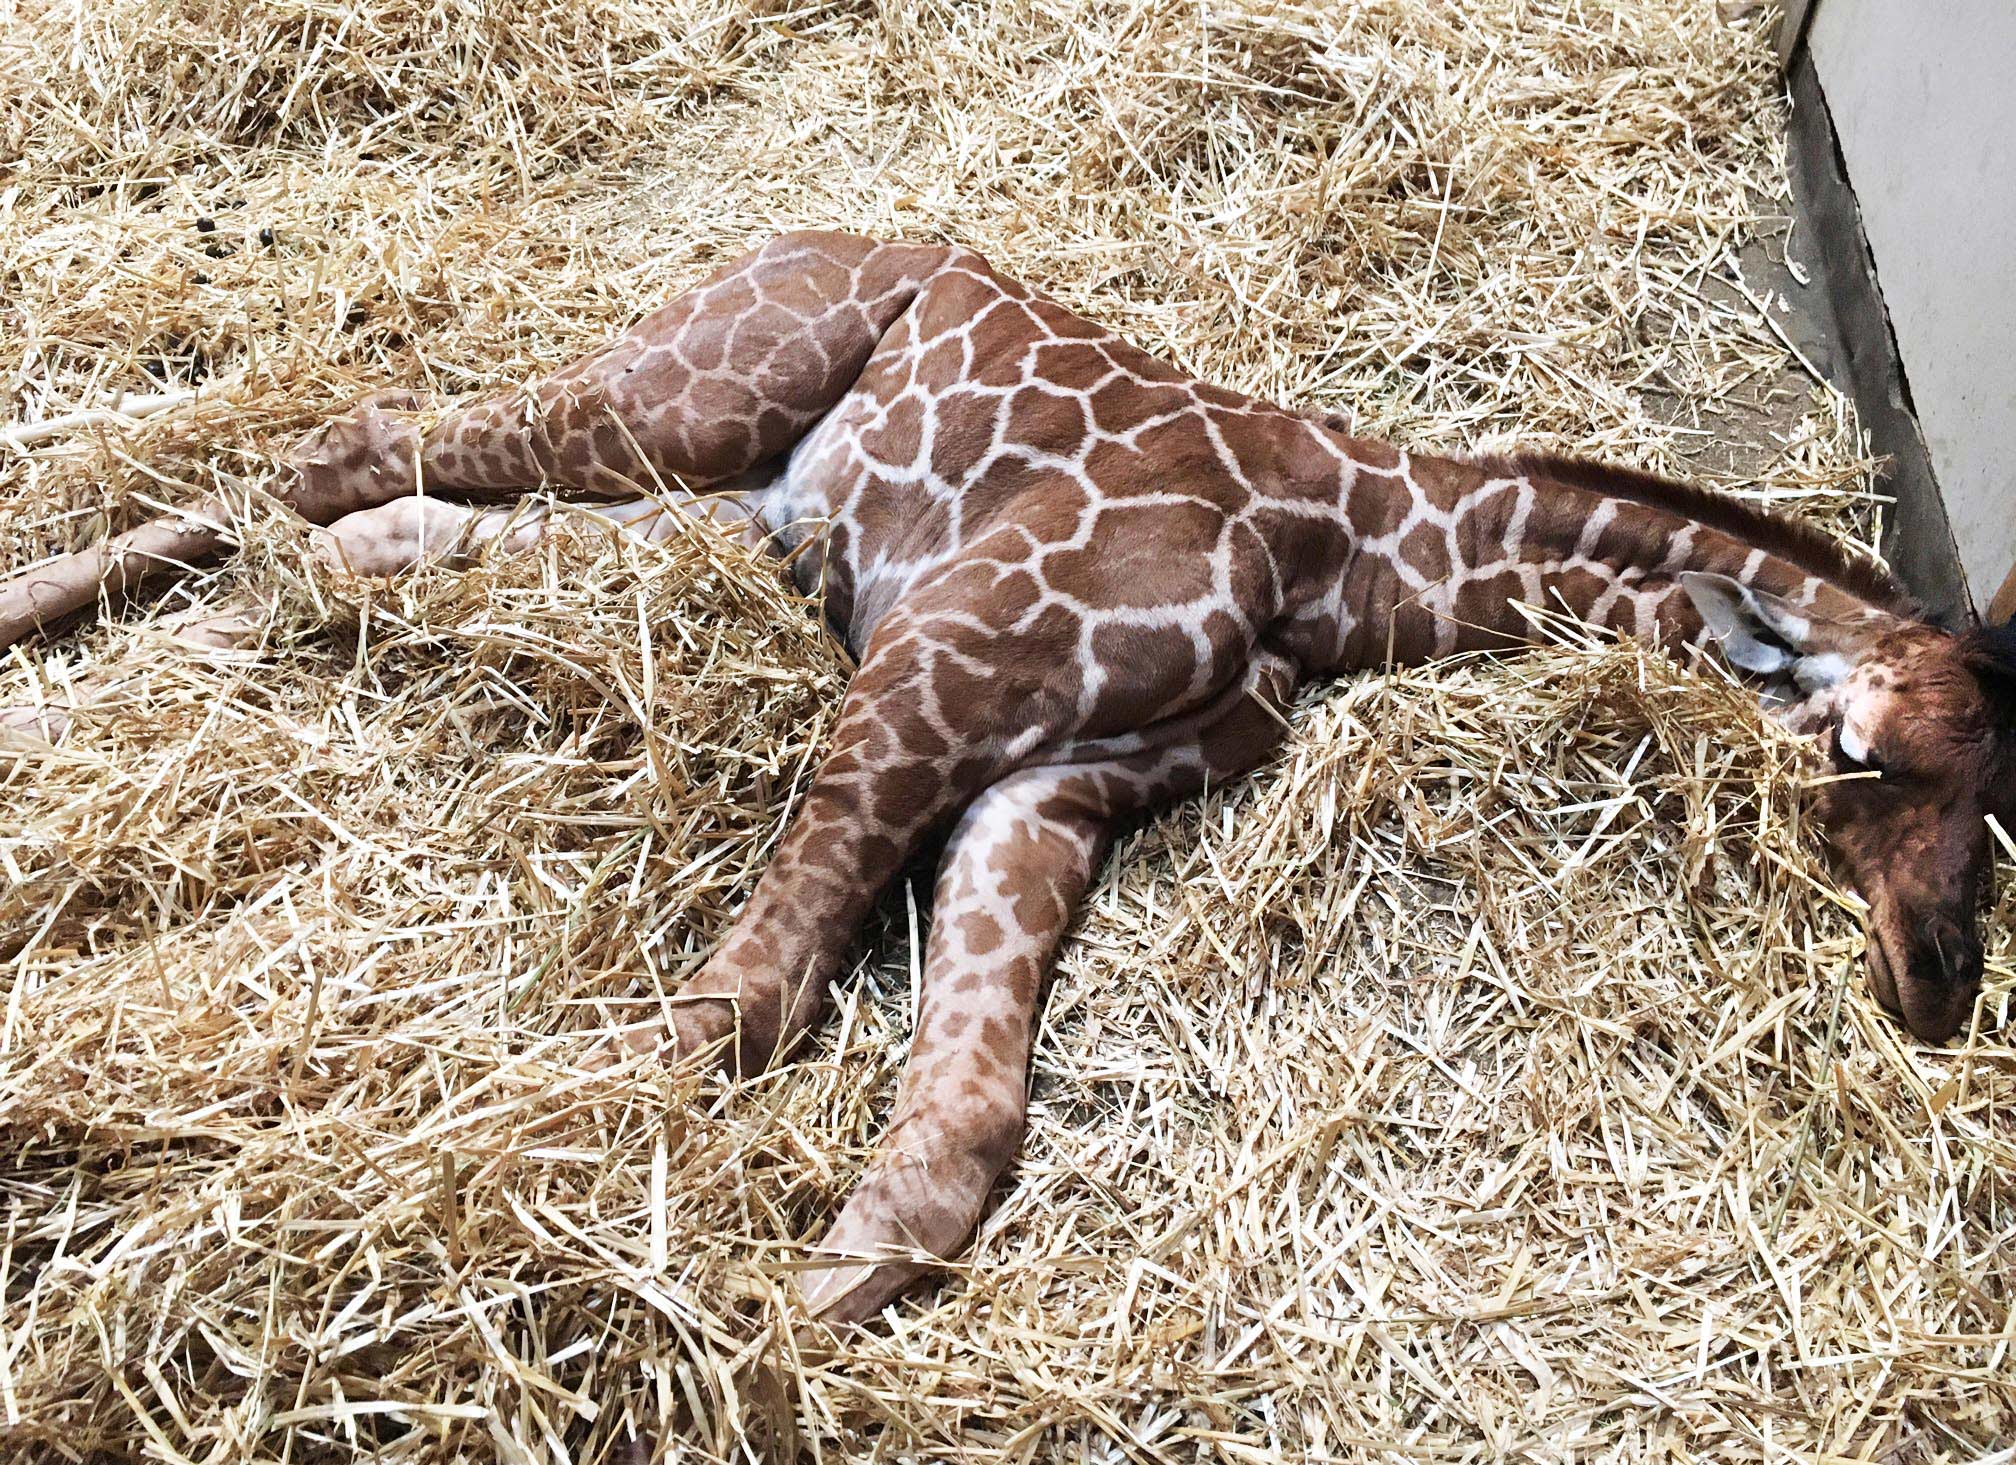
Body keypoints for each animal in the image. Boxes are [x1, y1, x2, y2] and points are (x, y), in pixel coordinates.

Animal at [3, 229, 2016, 1321]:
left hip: (715, 492)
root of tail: (799, 237)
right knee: (345, 442)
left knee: (377, 518)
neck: (1340, 559)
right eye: (1865, 757)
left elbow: (961, 1128)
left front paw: (798, 1304)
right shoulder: (939, 670)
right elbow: (738, 1011)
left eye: (1998, 823)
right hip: (694, 395)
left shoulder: (1047, 777)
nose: (1938, 991)